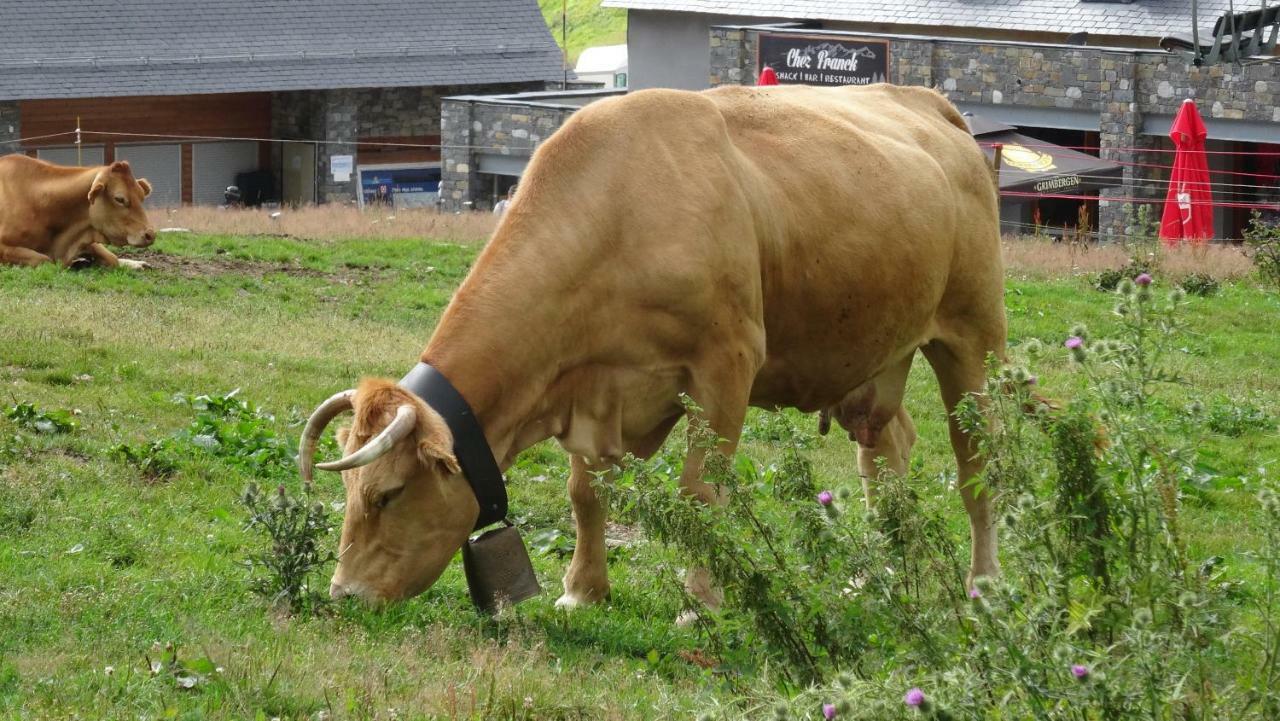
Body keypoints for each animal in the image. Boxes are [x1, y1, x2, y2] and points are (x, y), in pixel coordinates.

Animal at [296, 85, 1008, 614]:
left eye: (387, 494)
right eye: (349, 489)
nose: (345, 594)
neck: (617, 211)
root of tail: (929, 104)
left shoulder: (727, 365)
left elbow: (700, 492)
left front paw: (701, 600)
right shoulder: (590, 385)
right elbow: (585, 493)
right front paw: (582, 590)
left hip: (974, 337)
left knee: (977, 465)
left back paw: (984, 584)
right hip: (877, 353)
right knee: (888, 452)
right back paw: (879, 574)